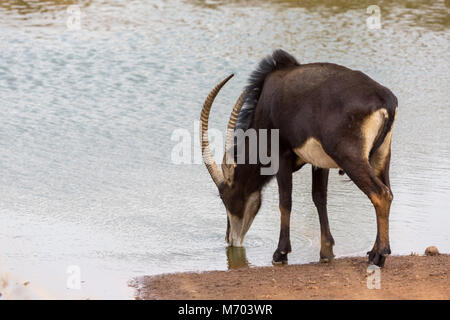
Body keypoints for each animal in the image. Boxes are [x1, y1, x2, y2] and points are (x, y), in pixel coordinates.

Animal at [200, 48, 398, 266]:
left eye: (225, 196)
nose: (231, 240)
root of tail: (385, 100)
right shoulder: (319, 163)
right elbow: (319, 198)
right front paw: (326, 251)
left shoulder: (280, 157)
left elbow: (285, 202)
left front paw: (281, 252)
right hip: (381, 156)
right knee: (388, 191)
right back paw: (374, 251)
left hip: (350, 158)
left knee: (381, 194)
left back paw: (379, 255)